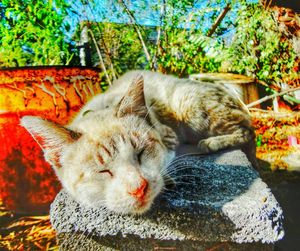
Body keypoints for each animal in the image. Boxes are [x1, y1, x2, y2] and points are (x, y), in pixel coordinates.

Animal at [21, 70, 256, 214]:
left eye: (141, 152)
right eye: (102, 171)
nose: (139, 189)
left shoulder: (169, 137)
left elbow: (166, 160)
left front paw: (166, 177)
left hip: (190, 107)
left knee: (247, 129)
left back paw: (209, 143)